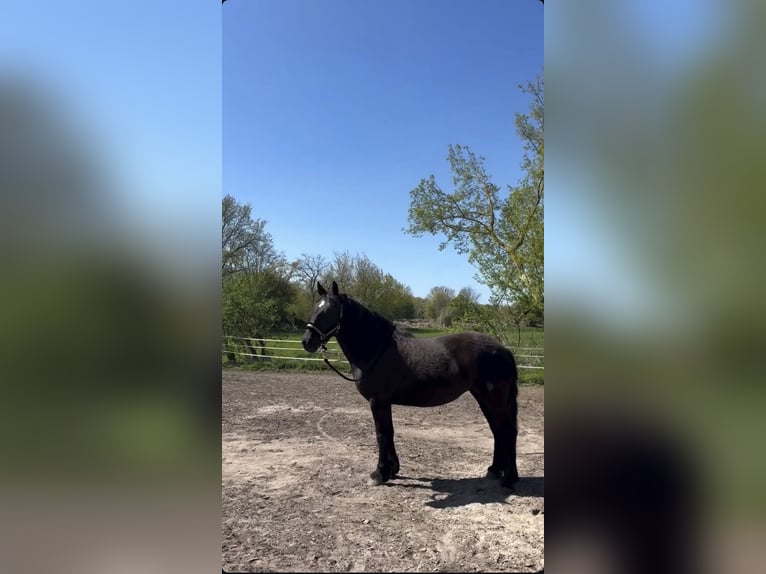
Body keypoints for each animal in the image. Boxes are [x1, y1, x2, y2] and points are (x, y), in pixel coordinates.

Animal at [302, 281, 519, 489]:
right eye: (315, 307)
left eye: (330, 310)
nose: (307, 341)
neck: (377, 349)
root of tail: (503, 350)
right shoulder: (384, 403)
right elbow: (389, 433)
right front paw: (392, 470)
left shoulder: (377, 401)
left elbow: (382, 434)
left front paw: (379, 473)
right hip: (484, 399)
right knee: (498, 432)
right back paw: (495, 470)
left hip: (493, 401)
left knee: (507, 431)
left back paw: (508, 479)